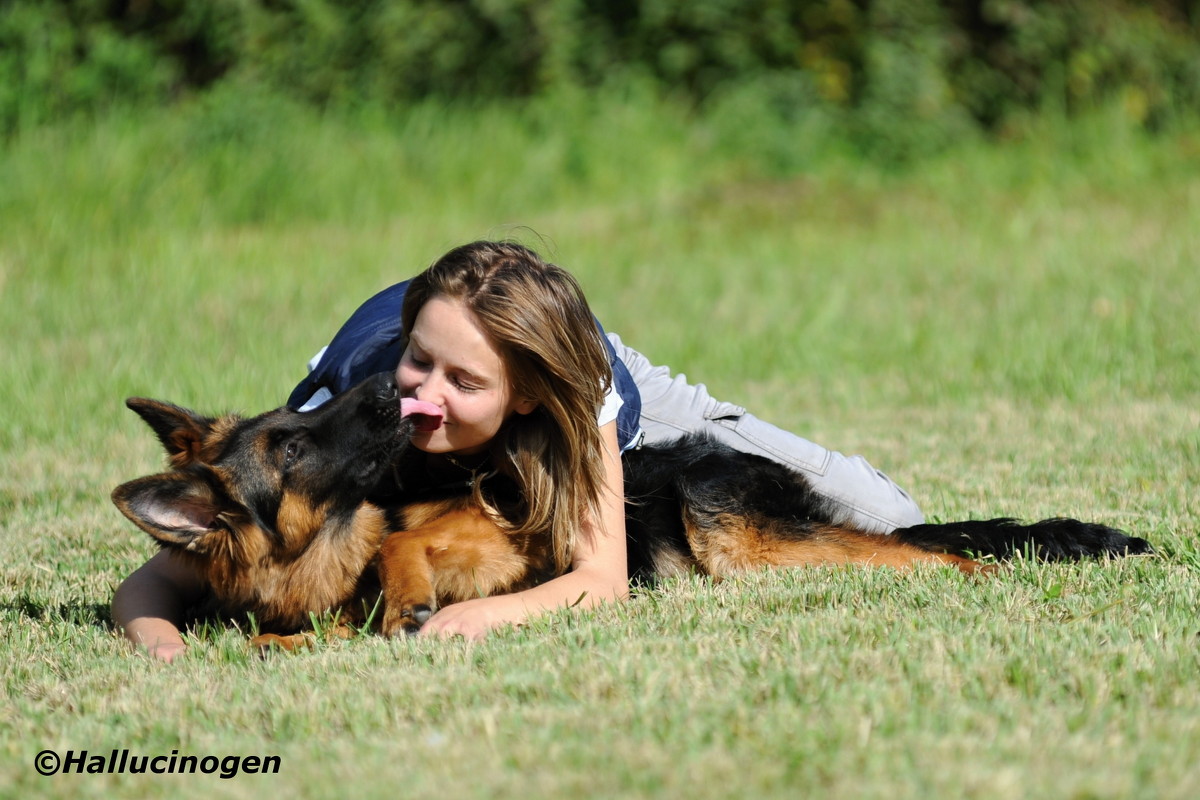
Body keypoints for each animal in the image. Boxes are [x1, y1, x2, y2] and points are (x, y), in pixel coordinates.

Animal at [112, 371, 1152, 647]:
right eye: (289, 444)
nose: (385, 395)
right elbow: (274, 638)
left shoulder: (494, 529)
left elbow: (408, 551)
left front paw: (402, 592)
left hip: (737, 536)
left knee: (926, 554)